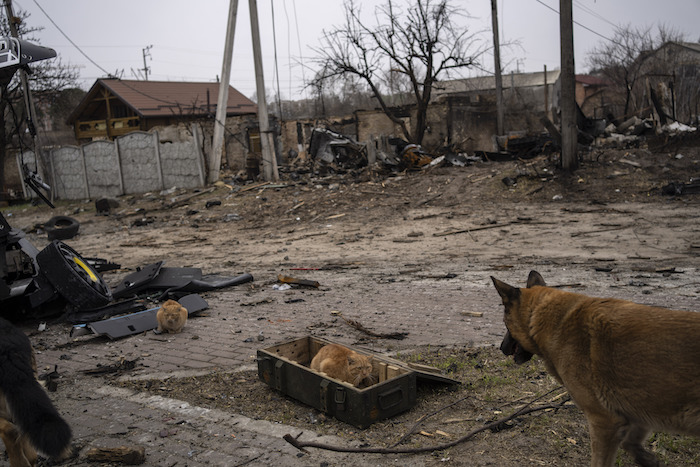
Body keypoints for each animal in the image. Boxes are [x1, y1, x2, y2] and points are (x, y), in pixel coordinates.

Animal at [492, 272, 700, 466]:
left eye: (505, 323)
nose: (501, 348)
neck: (555, 322)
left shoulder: (603, 421)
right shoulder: (638, 411)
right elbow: (630, 443)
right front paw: (647, 459)